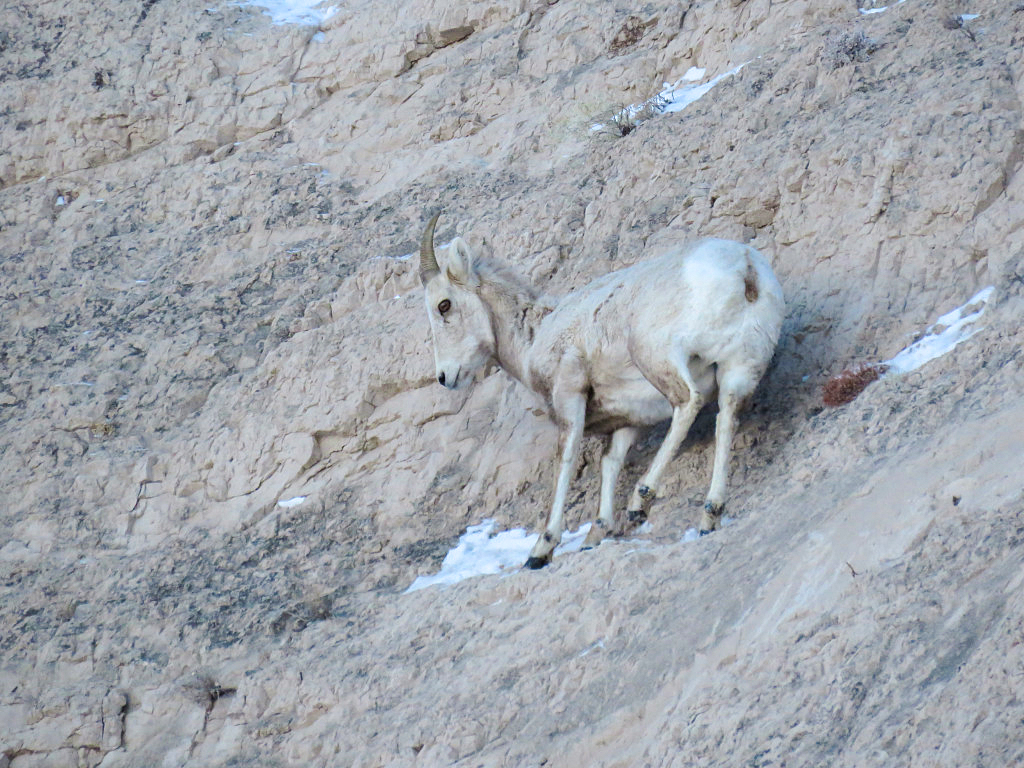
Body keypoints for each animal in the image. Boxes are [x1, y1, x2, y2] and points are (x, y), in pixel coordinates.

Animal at [415, 214, 782, 569]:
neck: (537, 334)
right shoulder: (628, 420)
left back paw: (641, 501)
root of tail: (745, 268)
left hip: (656, 354)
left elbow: (565, 461)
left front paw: (540, 551)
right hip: (739, 370)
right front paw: (595, 536)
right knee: (727, 417)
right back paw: (709, 516)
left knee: (688, 402)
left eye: (444, 305)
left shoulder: (569, 395)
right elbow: (611, 463)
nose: (444, 376)